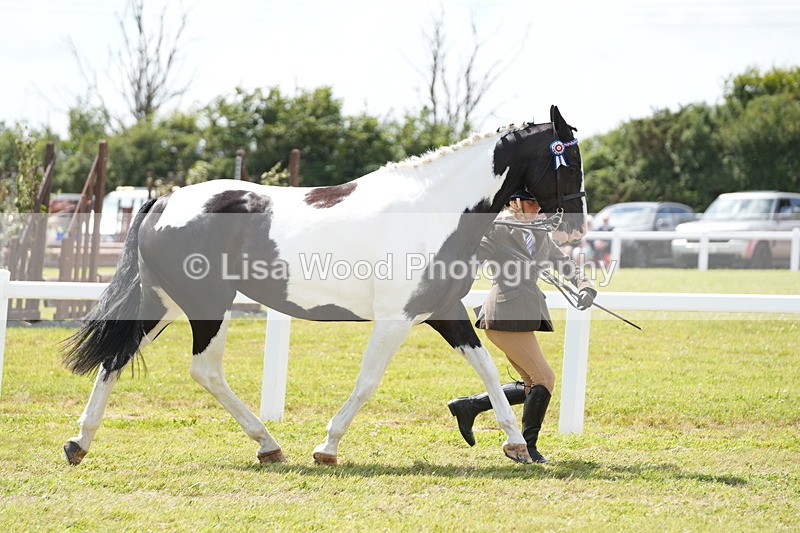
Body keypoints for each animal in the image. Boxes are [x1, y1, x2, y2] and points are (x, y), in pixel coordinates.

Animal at [61, 105, 587, 466]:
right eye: (569, 159)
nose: (576, 229)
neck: (432, 211)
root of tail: (164, 202)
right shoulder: (395, 319)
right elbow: (367, 381)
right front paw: (327, 447)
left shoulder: (442, 311)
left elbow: (487, 369)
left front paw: (516, 444)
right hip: (207, 305)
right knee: (204, 371)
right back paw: (268, 445)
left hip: (165, 304)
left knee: (116, 357)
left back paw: (79, 442)